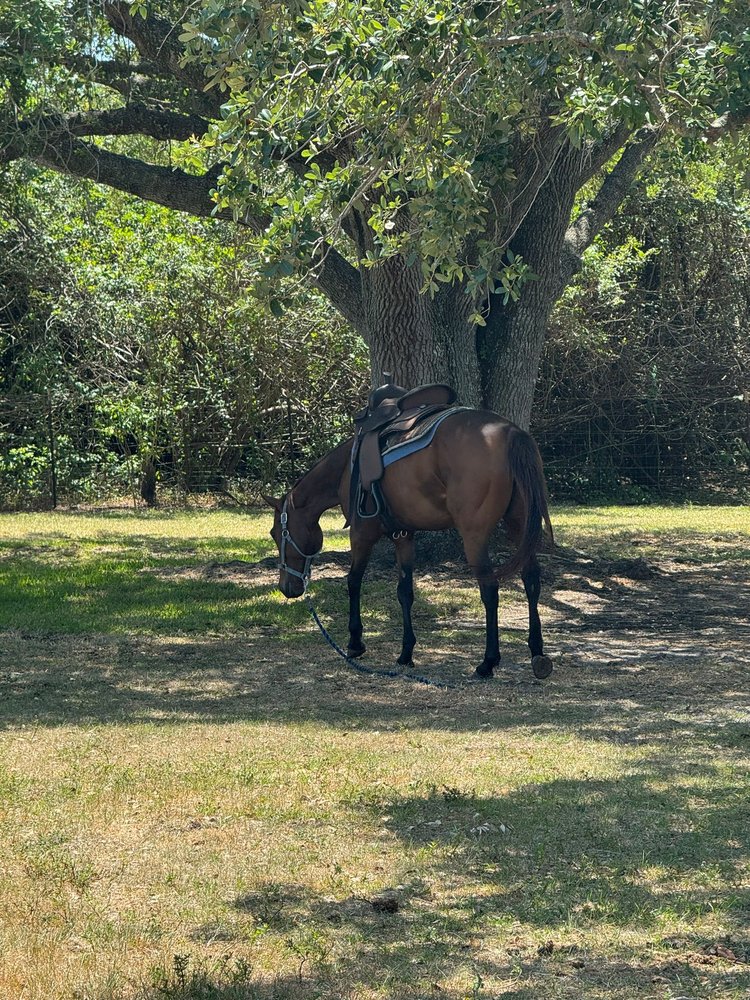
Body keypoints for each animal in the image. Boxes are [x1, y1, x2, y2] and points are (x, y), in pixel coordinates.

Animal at [264, 407, 554, 679]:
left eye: (276, 533)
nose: (286, 587)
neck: (346, 468)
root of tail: (511, 433)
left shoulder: (361, 534)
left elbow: (353, 582)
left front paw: (355, 642)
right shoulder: (403, 535)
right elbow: (405, 592)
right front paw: (405, 653)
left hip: (475, 536)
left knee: (490, 589)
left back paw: (488, 662)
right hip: (519, 525)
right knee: (531, 579)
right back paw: (537, 652)